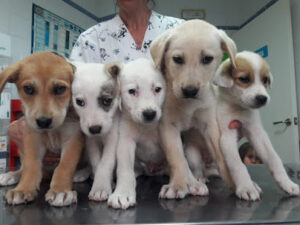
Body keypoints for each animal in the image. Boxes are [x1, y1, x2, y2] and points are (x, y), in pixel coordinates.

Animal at [0, 51, 83, 207]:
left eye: (60, 89)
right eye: (28, 89)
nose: (43, 121)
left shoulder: (72, 139)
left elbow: (64, 166)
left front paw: (60, 191)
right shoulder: (33, 138)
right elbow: (31, 165)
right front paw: (23, 189)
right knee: (24, 167)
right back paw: (11, 175)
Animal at [71, 61, 122, 200]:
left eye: (107, 101)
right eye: (79, 102)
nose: (95, 129)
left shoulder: (113, 139)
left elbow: (105, 163)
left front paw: (101, 186)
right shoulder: (91, 141)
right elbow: (96, 162)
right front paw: (102, 183)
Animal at [107, 58, 166, 209]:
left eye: (157, 89)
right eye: (132, 91)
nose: (149, 114)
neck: (147, 127)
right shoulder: (125, 141)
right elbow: (124, 168)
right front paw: (122, 193)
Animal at [214, 51, 298, 200]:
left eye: (265, 80)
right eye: (244, 79)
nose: (262, 98)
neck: (239, 108)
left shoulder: (257, 132)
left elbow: (274, 159)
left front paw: (287, 183)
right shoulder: (227, 135)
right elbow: (237, 164)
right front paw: (246, 187)